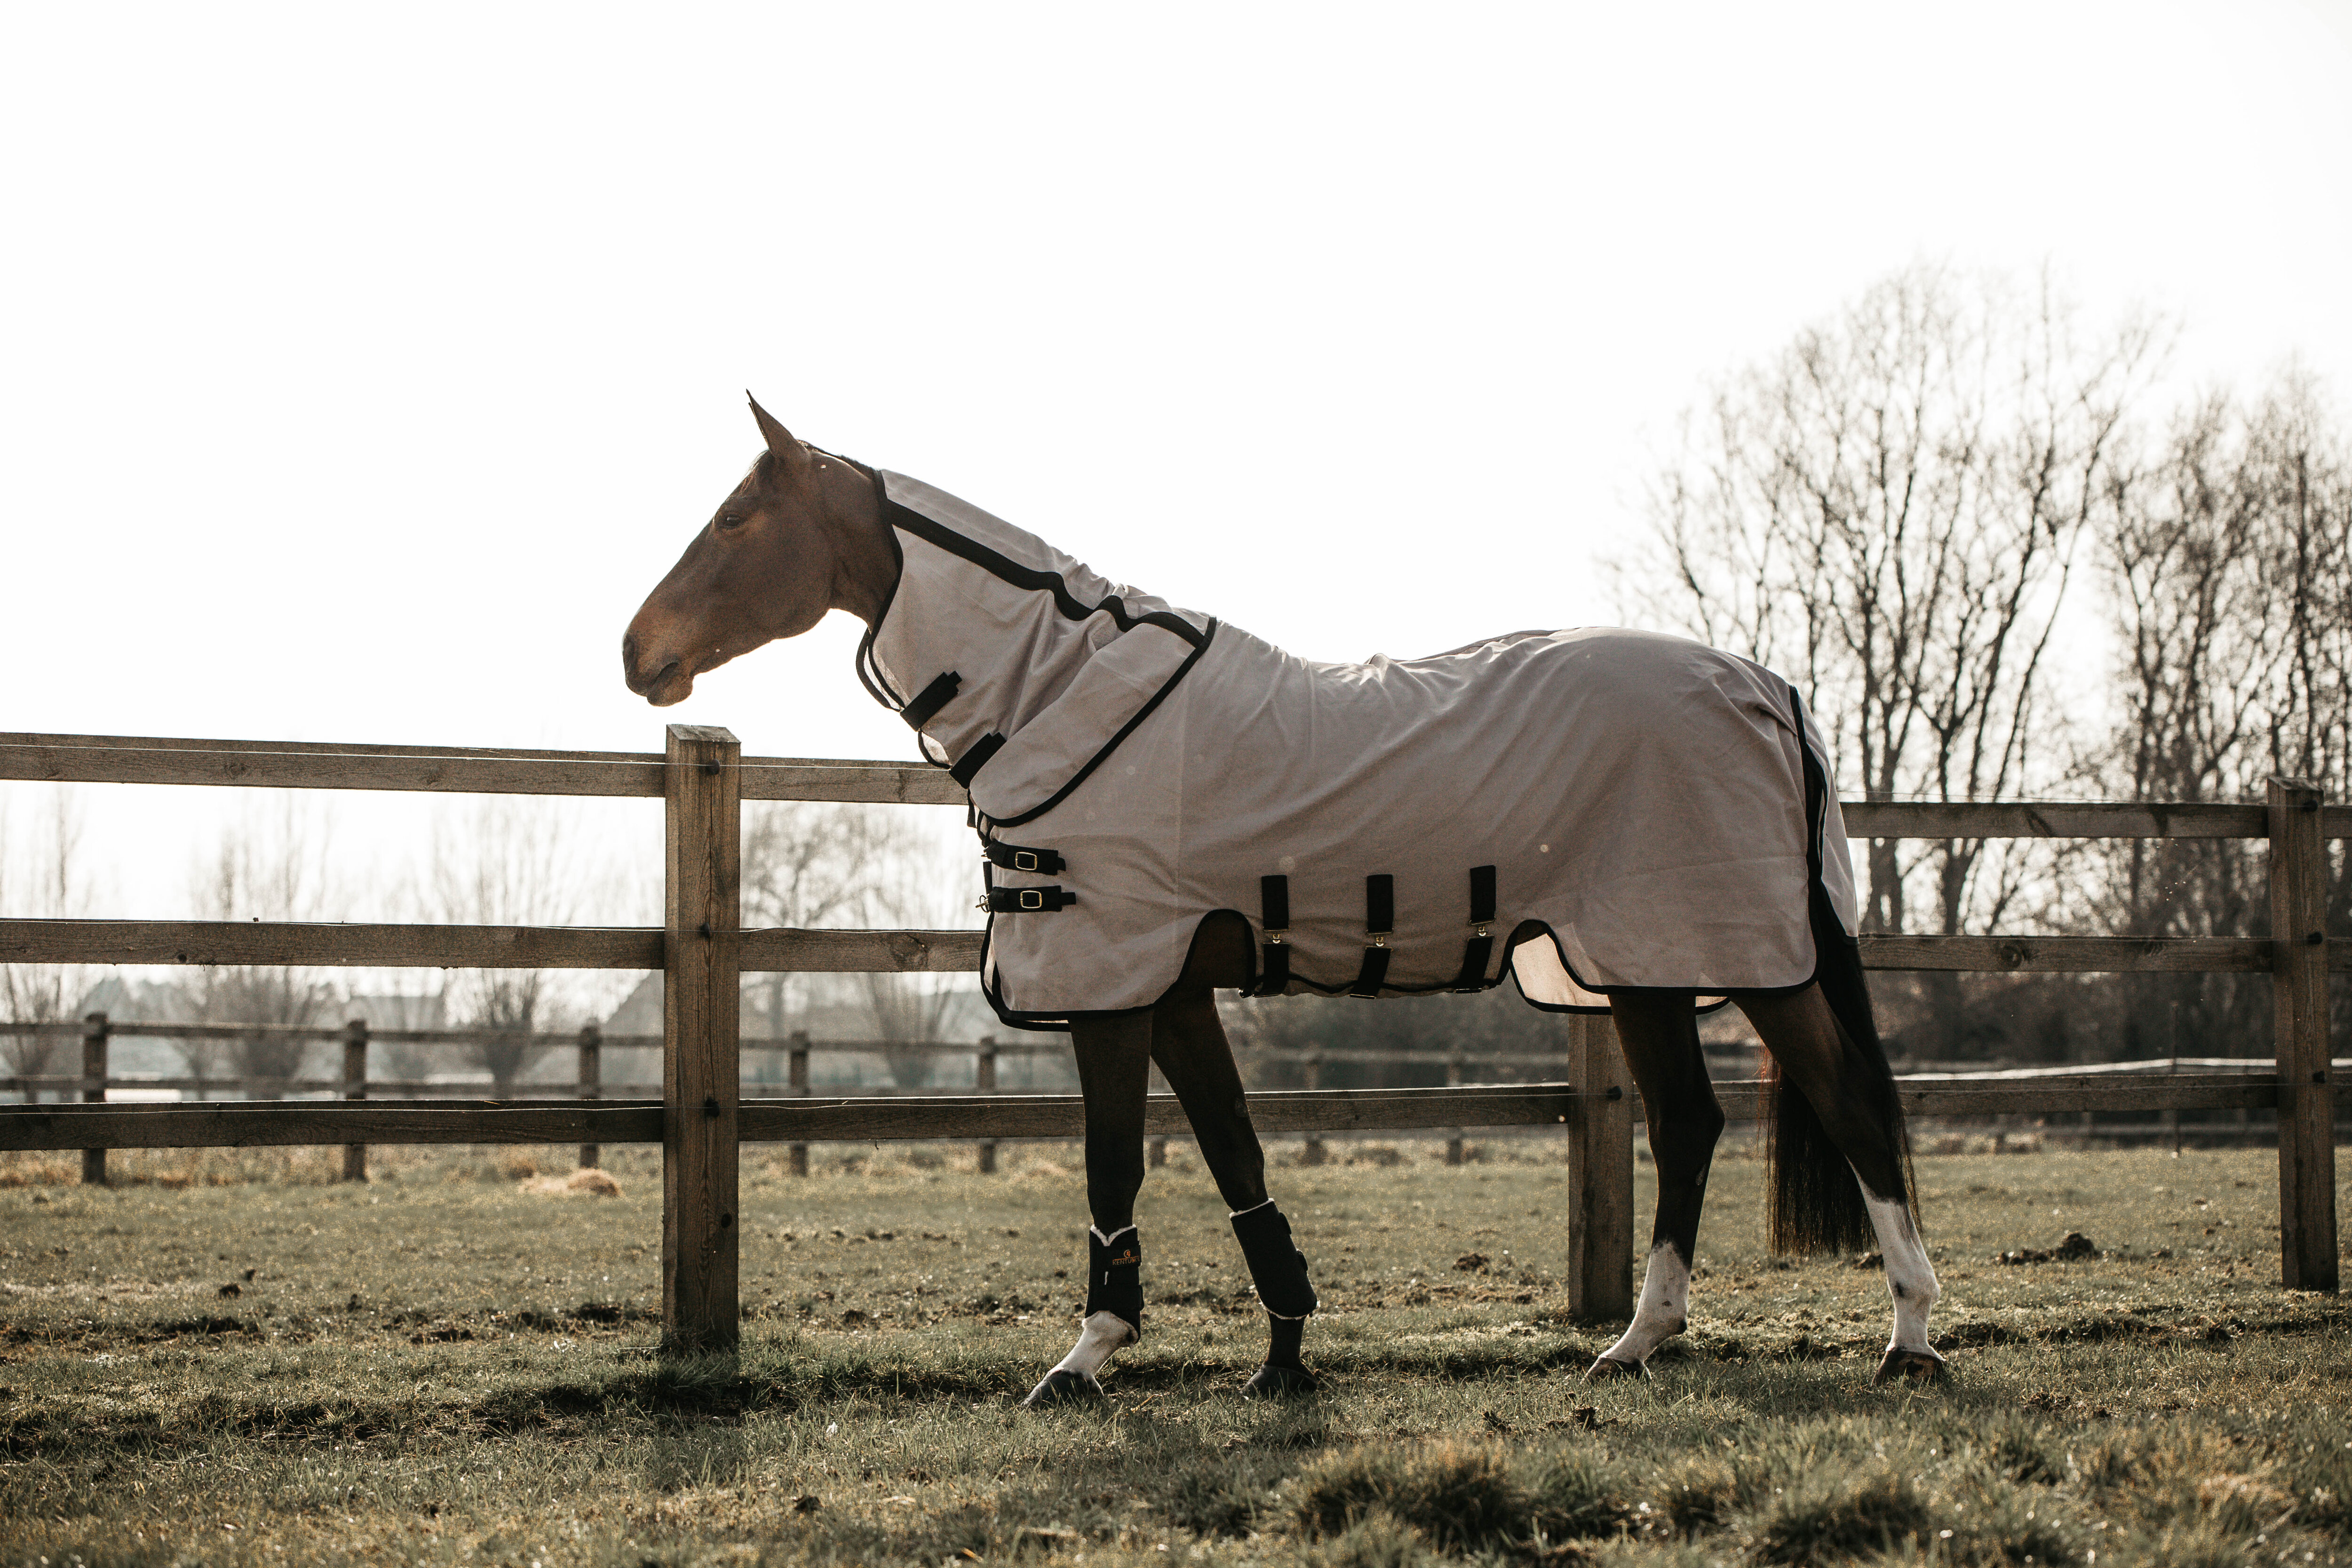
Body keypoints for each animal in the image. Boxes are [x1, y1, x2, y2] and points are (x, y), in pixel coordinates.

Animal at [626, 392, 1947, 1401]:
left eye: (737, 516)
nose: (639, 652)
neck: (1063, 688)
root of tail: (1766, 686)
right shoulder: (1172, 993)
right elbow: (1233, 1154)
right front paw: (1284, 1353)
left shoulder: (1111, 992)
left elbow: (1116, 1164)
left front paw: (1086, 1358)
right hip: (1643, 969)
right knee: (1687, 1125)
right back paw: (1636, 1341)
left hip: (1738, 955)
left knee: (1850, 1108)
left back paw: (1908, 1340)